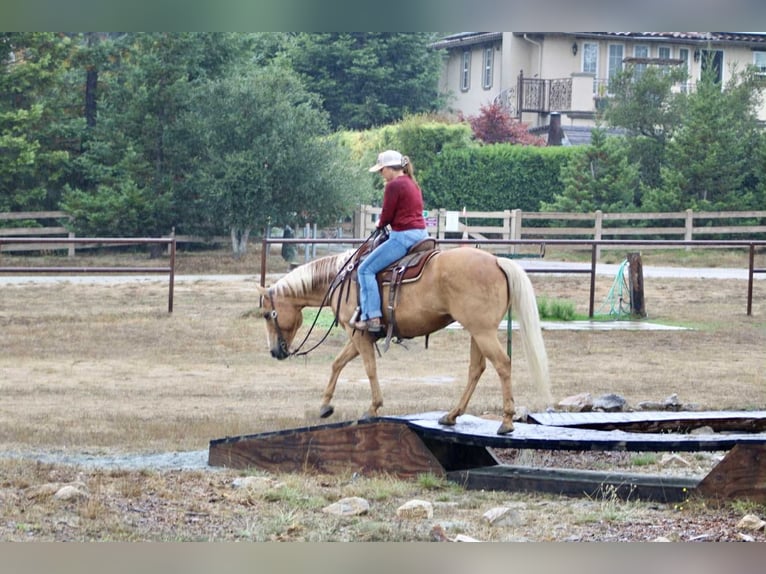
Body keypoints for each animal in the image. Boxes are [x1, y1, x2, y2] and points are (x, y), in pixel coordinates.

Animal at [255, 245, 551, 435]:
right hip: (477, 332)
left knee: (502, 364)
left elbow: (369, 368)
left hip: (483, 331)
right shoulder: (359, 335)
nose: (274, 352)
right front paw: (325, 405)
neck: (341, 279)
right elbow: (338, 363)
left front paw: (373, 407)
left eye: (268, 314)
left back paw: (506, 422)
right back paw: (451, 416)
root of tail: (497, 261)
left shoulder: (357, 333)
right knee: (476, 369)